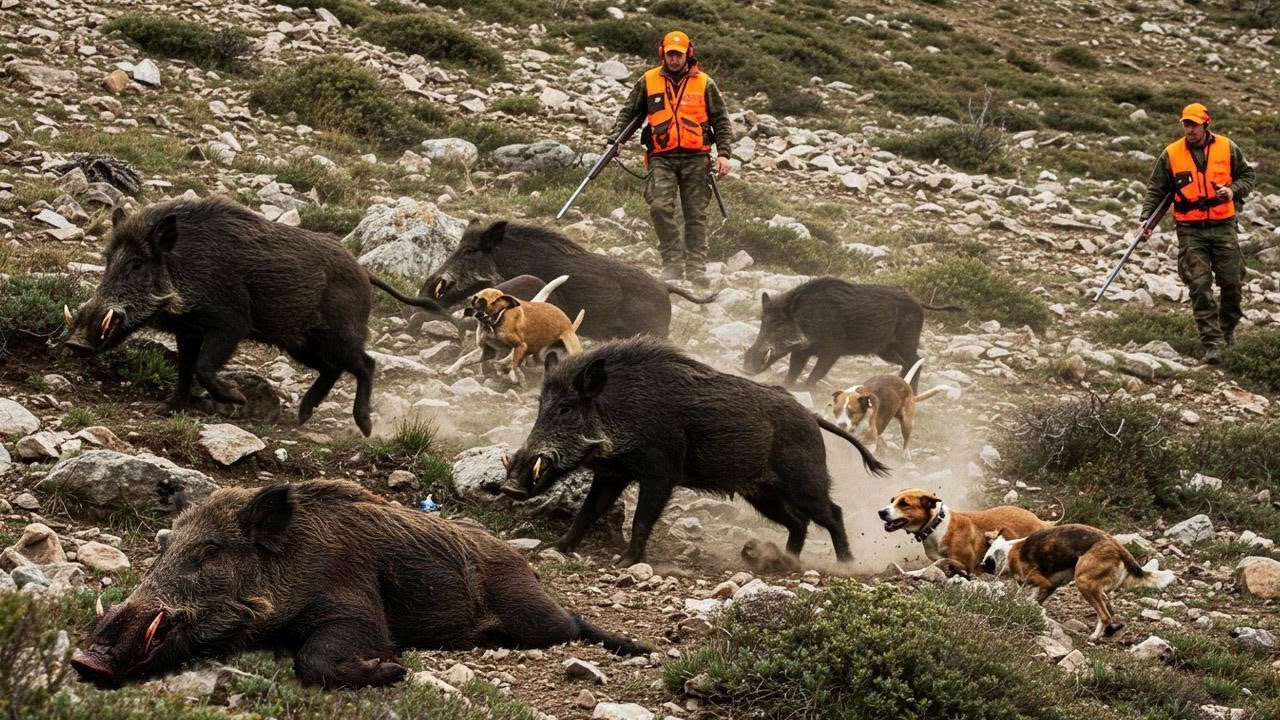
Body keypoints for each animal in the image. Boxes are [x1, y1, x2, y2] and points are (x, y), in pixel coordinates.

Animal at [63, 198, 450, 436]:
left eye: (137, 264)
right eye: (108, 260)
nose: (75, 341)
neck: (185, 269)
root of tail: (364, 273)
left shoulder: (229, 324)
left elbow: (203, 367)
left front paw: (237, 400)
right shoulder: (188, 331)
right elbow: (185, 369)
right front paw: (166, 407)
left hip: (337, 334)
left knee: (366, 364)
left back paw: (364, 426)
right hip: (300, 342)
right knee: (332, 369)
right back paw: (302, 417)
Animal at [71, 480, 648, 689]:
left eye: (210, 552)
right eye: (164, 545)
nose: (85, 660)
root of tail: (522, 559)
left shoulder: (357, 609)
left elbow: (313, 659)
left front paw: (394, 671)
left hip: (532, 614)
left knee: (571, 622)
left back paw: (636, 647)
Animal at [500, 337, 890, 566]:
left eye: (566, 408)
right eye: (540, 406)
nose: (509, 486)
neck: (618, 414)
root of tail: (812, 416)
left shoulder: (661, 473)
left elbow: (642, 519)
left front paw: (625, 563)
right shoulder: (612, 473)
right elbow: (587, 513)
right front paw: (553, 549)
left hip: (805, 480)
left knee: (832, 513)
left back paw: (846, 565)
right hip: (762, 493)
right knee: (799, 522)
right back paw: (784, 561)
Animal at [743, 277, 962, 390]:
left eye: (779, 324)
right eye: (763, 322)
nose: (747, 366)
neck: (807, 318)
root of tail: (918, 302)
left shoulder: (833, 350)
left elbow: (816, 374)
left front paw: (805, 390)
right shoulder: (801, 351)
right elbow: (793, 372)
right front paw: (784, 385)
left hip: (907, 341)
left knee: (917, 360)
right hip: (885, 350)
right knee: (907, 363)